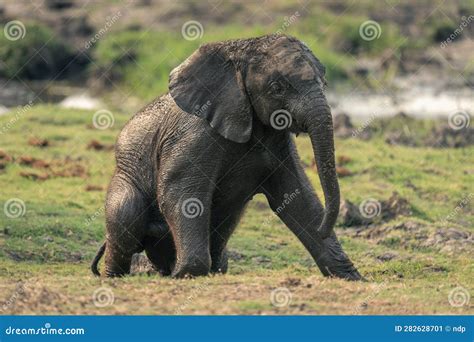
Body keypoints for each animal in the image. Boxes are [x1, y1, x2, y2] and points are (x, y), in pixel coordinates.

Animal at [90, 34, 362, 280]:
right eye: (277, 88)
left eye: (324, 83)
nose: (325, 228)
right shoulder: (195, 134)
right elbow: (179, 192)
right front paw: (187, 273)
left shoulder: (279, 141)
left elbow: (298, 197)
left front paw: (350, 276)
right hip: (125, 177)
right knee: (126, 215)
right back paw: (116, 276)